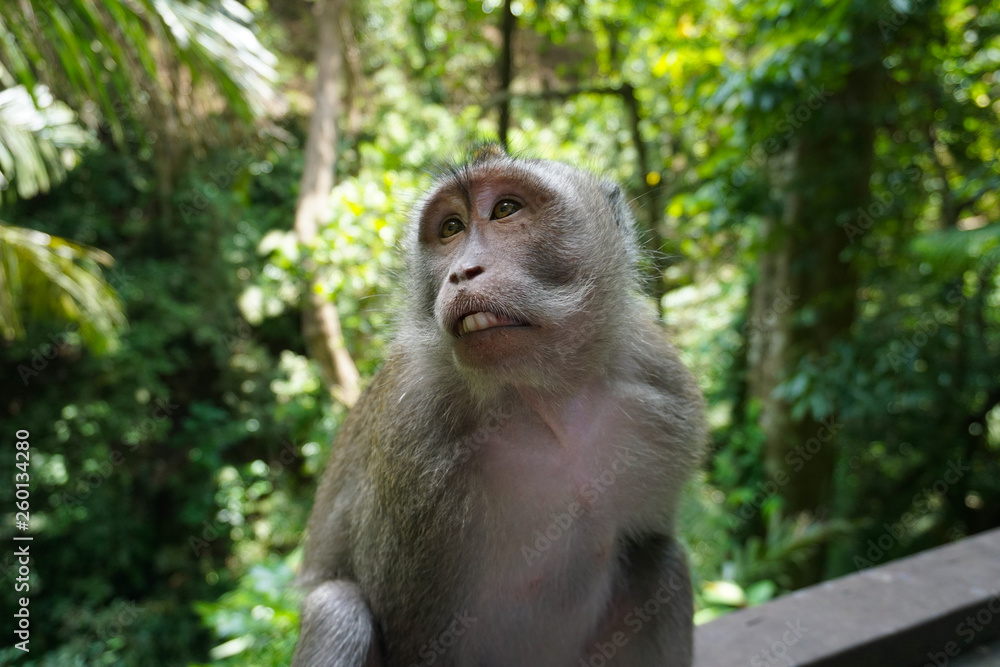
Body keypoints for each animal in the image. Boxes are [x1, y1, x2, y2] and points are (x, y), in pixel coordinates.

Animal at [292, 147, 708, 667]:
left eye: (506, 209)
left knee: (661, 562)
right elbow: (415, 639)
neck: (544, 403)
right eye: (451, 227)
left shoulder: (664, 396)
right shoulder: (412, 445)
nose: (462, 272)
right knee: (338, 609)